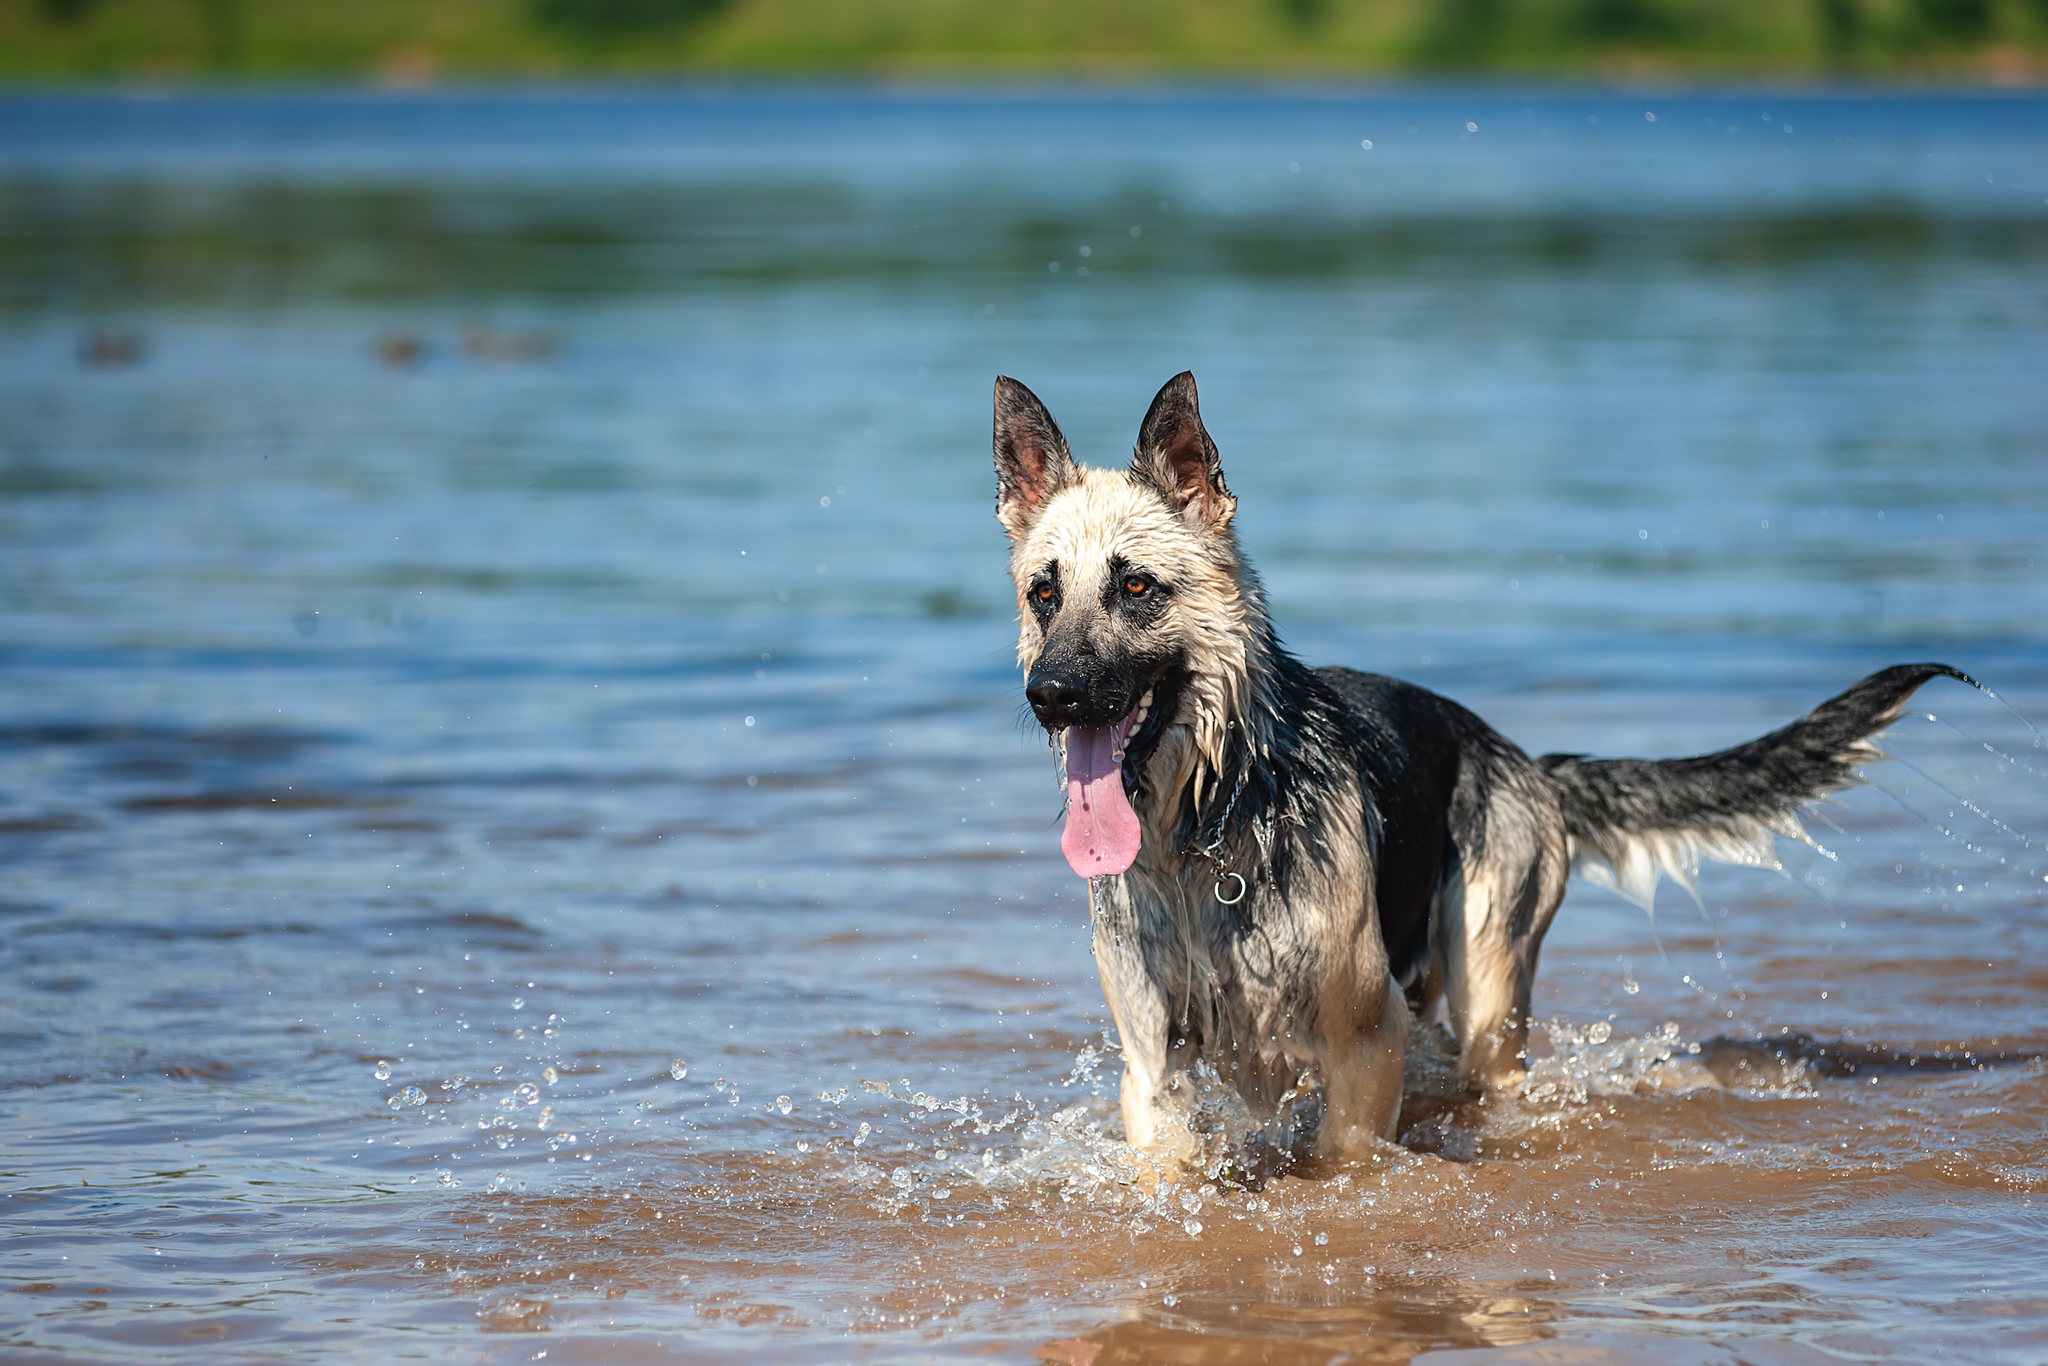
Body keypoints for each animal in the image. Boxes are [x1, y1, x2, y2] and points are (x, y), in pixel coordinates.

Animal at [991, 370, 1966, 1179]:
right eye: (1045, 593)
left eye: (1136, 588)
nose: (1053, 696)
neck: (1208, 825)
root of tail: (1521, 757)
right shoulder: (1155, 1073)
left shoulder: (1364, 1049)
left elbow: (1342, 1163)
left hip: (1490, 991)